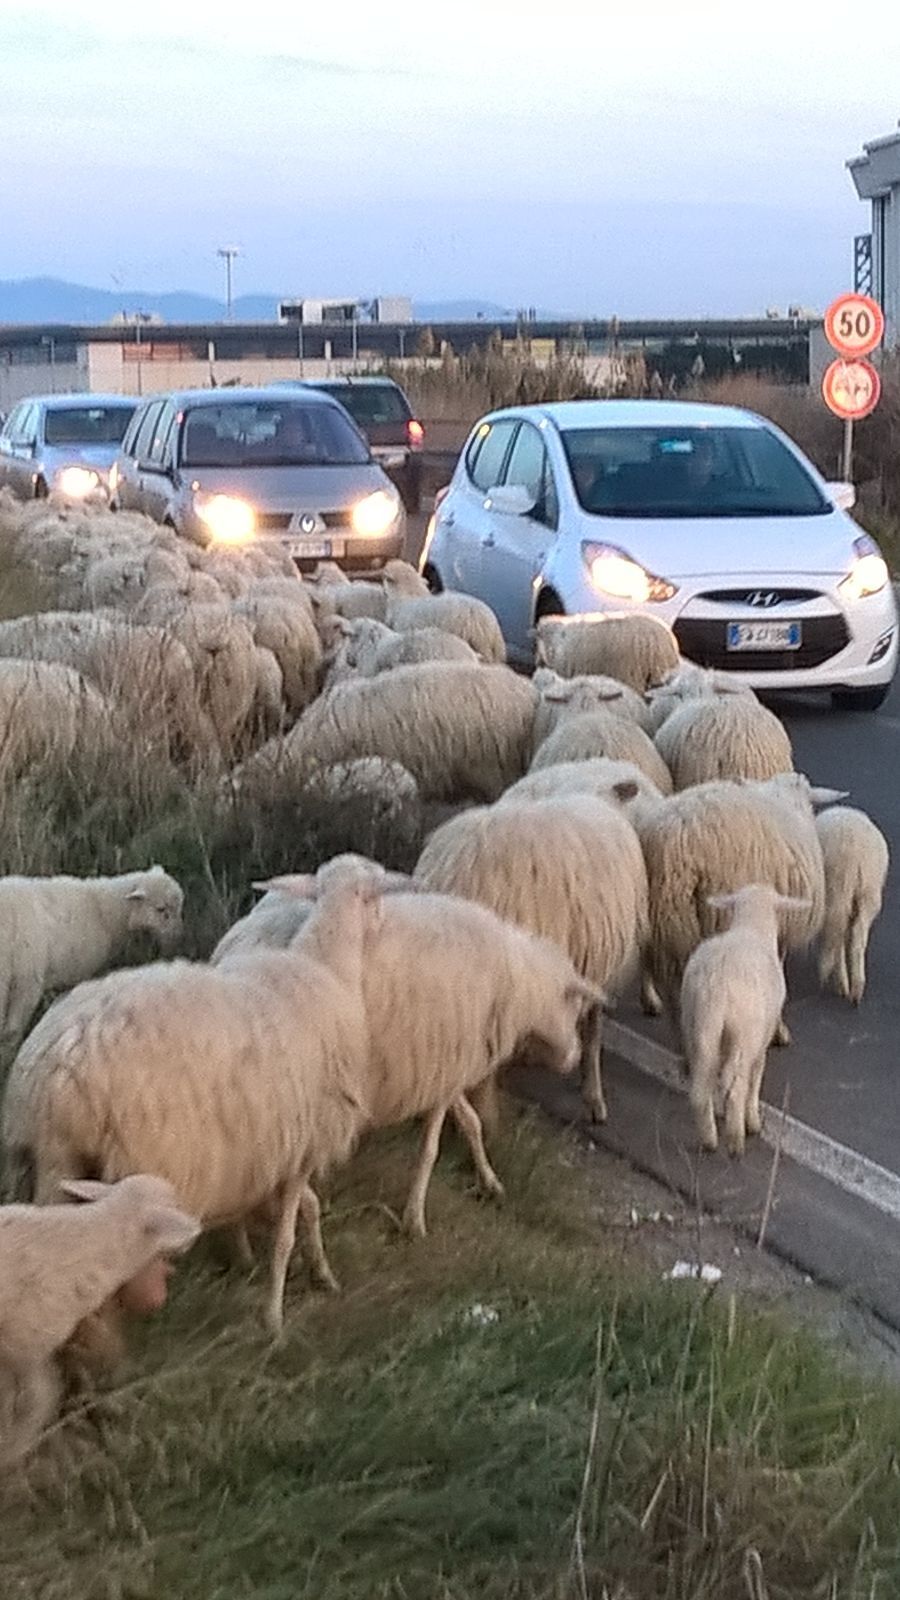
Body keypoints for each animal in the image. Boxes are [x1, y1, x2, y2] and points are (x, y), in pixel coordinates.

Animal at [0, 867, 183, 1061]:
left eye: (179, 908)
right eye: (161, 909)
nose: (179, 936)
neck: (104, 909)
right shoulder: (82, 970)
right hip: (24, 978)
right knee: (11, 1030)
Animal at [681, 885, 808, 1157]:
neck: (753, 926)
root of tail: (717, 984)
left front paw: (722, 1112)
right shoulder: (762, 1038)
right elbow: (756, 1076)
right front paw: (752, 1120)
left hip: (698, 1025)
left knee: (701, 1085)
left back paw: (709, 1138)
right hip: (743, 1031)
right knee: (736, 1082)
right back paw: (736, 1137)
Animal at [815, 806, 889, 1005]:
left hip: (836, 888)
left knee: (837, 932)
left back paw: (841, 983)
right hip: (867, 892)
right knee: (856, 935)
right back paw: (855, 988)